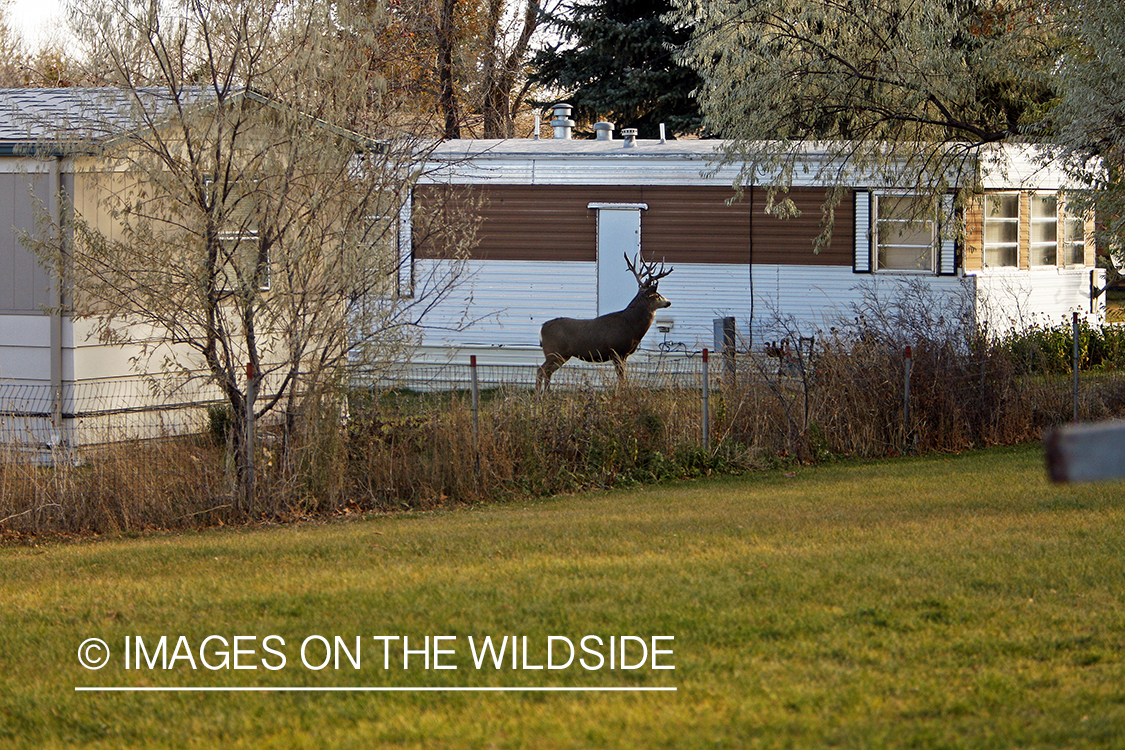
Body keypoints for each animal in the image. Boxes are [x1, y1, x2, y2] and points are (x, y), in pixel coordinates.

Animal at [536, 252, 673, 391]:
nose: (669, 302)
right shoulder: (617, 351)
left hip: (561, 355)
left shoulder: (623, 354)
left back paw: (547, 393)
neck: (630, 324)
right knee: (540, 370)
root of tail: (542, 328)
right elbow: (621, 379)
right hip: (553, 351)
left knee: (548, 372)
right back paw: (539, 394)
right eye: (657, 295)